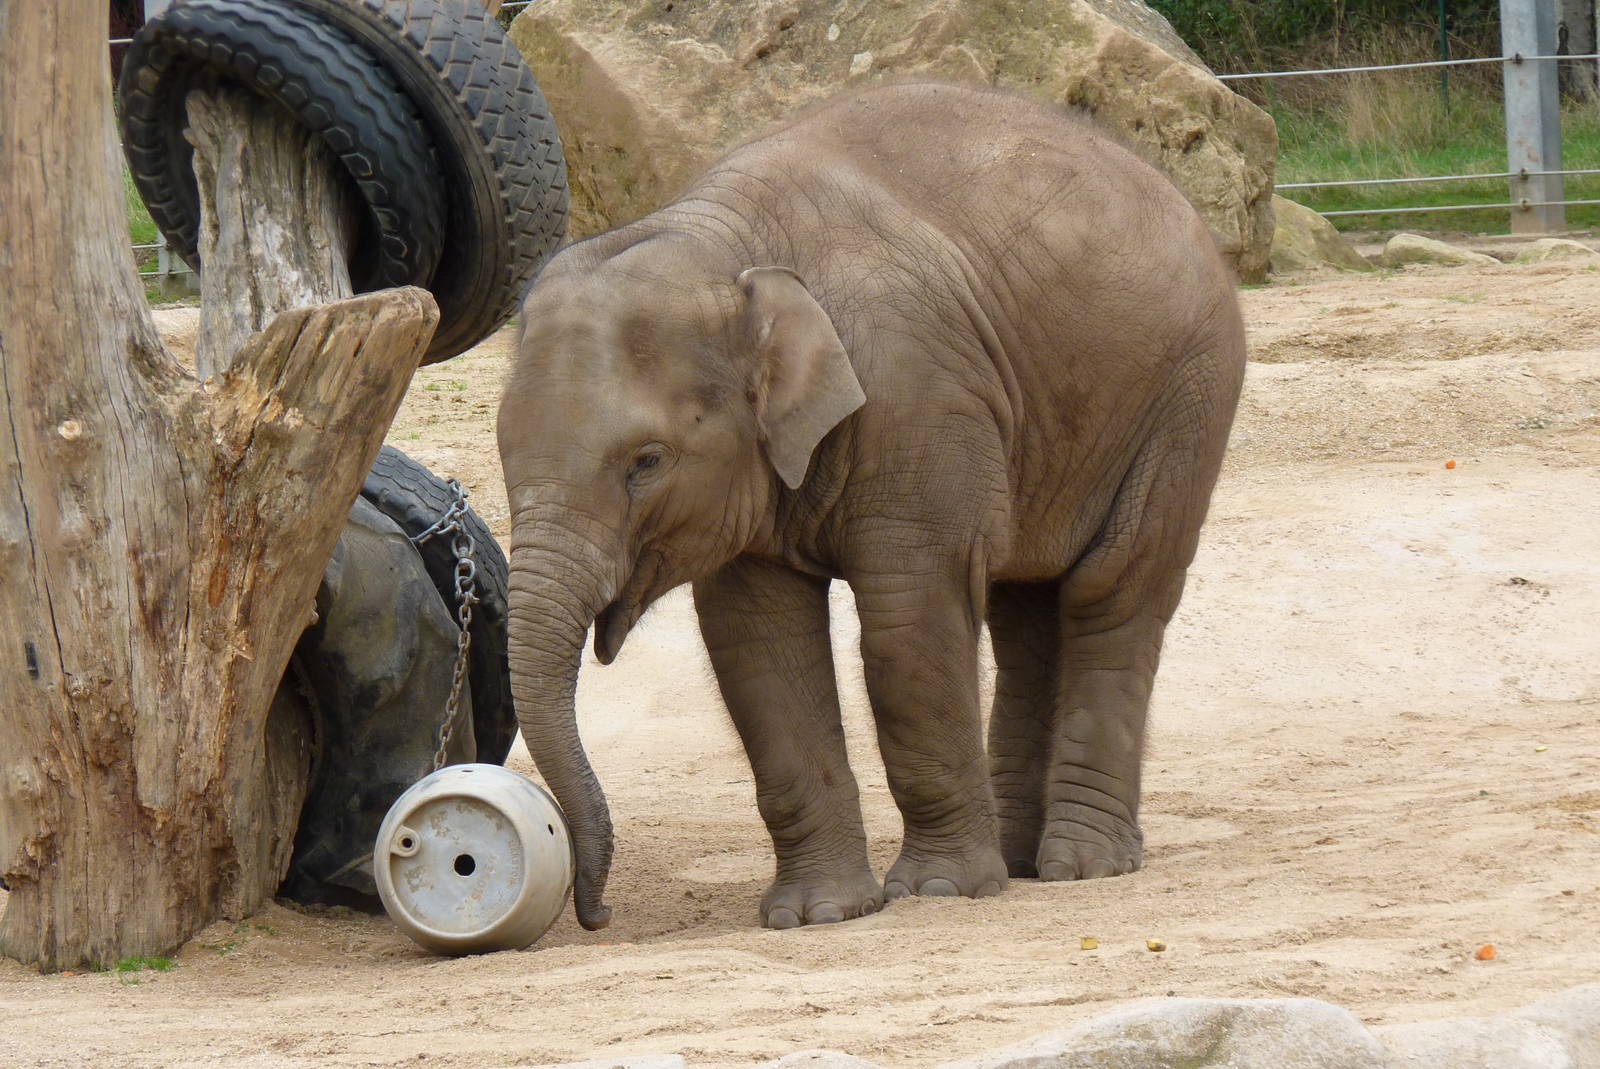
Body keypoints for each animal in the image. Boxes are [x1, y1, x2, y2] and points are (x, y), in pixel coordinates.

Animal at [497, 82, 1247, 932]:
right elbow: (757, 648)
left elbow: (906, 627)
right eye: (502, 452)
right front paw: (817, 913)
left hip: (1187, 397)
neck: (727, 246)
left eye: (645, 463)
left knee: (1111, 589)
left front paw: (939, 890)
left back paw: (1084, 865)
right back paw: (1020, 858)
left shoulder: (918, 400)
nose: (595, 913)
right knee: (1025, 607)